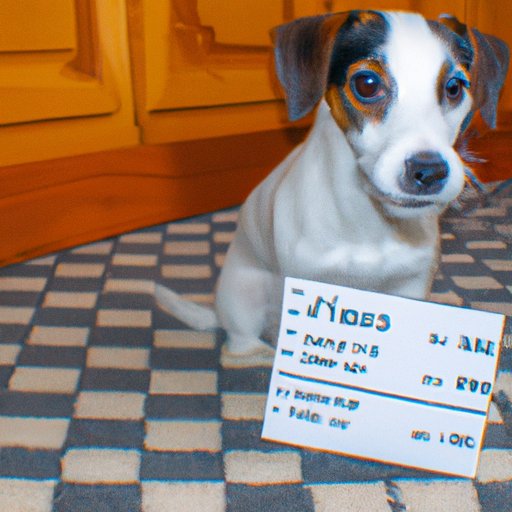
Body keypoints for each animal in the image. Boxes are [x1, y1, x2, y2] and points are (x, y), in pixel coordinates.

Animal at [156, 11, 509, 364]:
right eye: (367, 84)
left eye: (455, 87)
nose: (429, 171)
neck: (370, 222)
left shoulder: (412, 284)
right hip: (246, 294)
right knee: (240, 348)